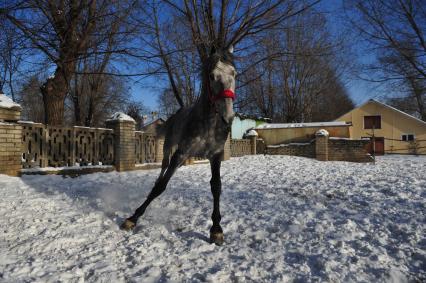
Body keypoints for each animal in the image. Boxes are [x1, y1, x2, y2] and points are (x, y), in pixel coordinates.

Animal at [120, 47, 236, 246]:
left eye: (234, 73)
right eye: (212, 76)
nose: (228, 117)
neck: (208, 125)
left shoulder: (215, 156)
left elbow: (216, 187)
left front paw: (216, 230)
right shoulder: (180, 154)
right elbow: (161, 187)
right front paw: (132, 219)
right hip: (169, 150)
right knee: (162, 171)